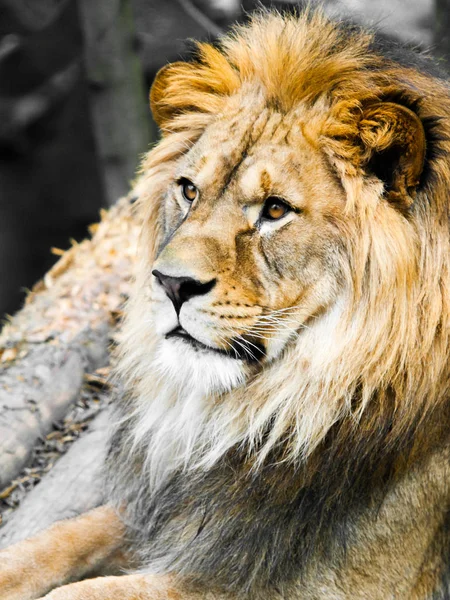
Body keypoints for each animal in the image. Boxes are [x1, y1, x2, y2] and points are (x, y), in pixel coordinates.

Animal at [0, 9, 450, 600]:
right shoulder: (185, 509)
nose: (170, 284)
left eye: (275, 210)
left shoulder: (348, 583)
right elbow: (62, 537)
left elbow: (91, 592)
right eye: (189, 190)